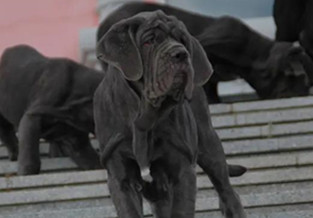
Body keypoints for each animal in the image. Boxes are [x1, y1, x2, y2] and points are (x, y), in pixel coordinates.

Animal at [0, 44, 102, 175]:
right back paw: (14, 153)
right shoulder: (32, 117)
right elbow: (29, 149)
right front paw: (27, 172)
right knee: (6, 131)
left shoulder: (73, 136)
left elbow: (86, 155)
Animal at [94, 10, 245, 218]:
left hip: (209, 145)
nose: (180, 53)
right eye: (149, 41)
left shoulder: (182, 171)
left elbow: (181, 210)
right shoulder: (120, 177)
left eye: (182, 39)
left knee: (228, 192)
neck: (145, 114)